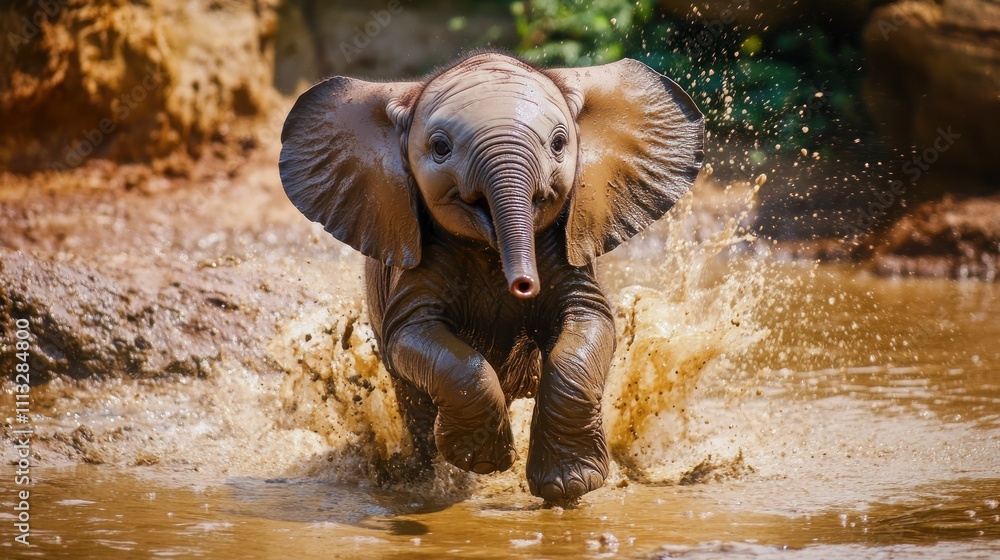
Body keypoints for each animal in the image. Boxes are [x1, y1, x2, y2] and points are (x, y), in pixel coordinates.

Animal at [278, 52, 704, 503]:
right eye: (440, 148)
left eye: (558, 144)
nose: (524, 284)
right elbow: (416, 335)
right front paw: (482, 462)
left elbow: (588, 324)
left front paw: (571, 485)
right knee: (414, 409)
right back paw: (422, 479)